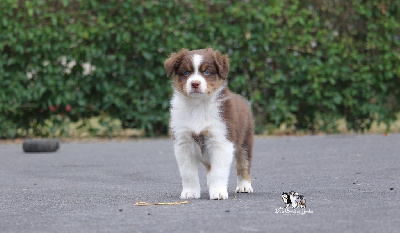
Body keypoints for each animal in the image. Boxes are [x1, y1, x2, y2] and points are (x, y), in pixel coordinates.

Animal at [164, 47, 255, 200]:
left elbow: (219, 171)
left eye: (206, 72)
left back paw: (244, 186)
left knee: (244, 164)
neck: (198, 106)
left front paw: (218, 192)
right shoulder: (183, 143)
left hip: (245, 141)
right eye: (186, 72)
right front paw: (190, 192)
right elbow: (188, 173)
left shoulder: (221, 140)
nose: (195, 83)